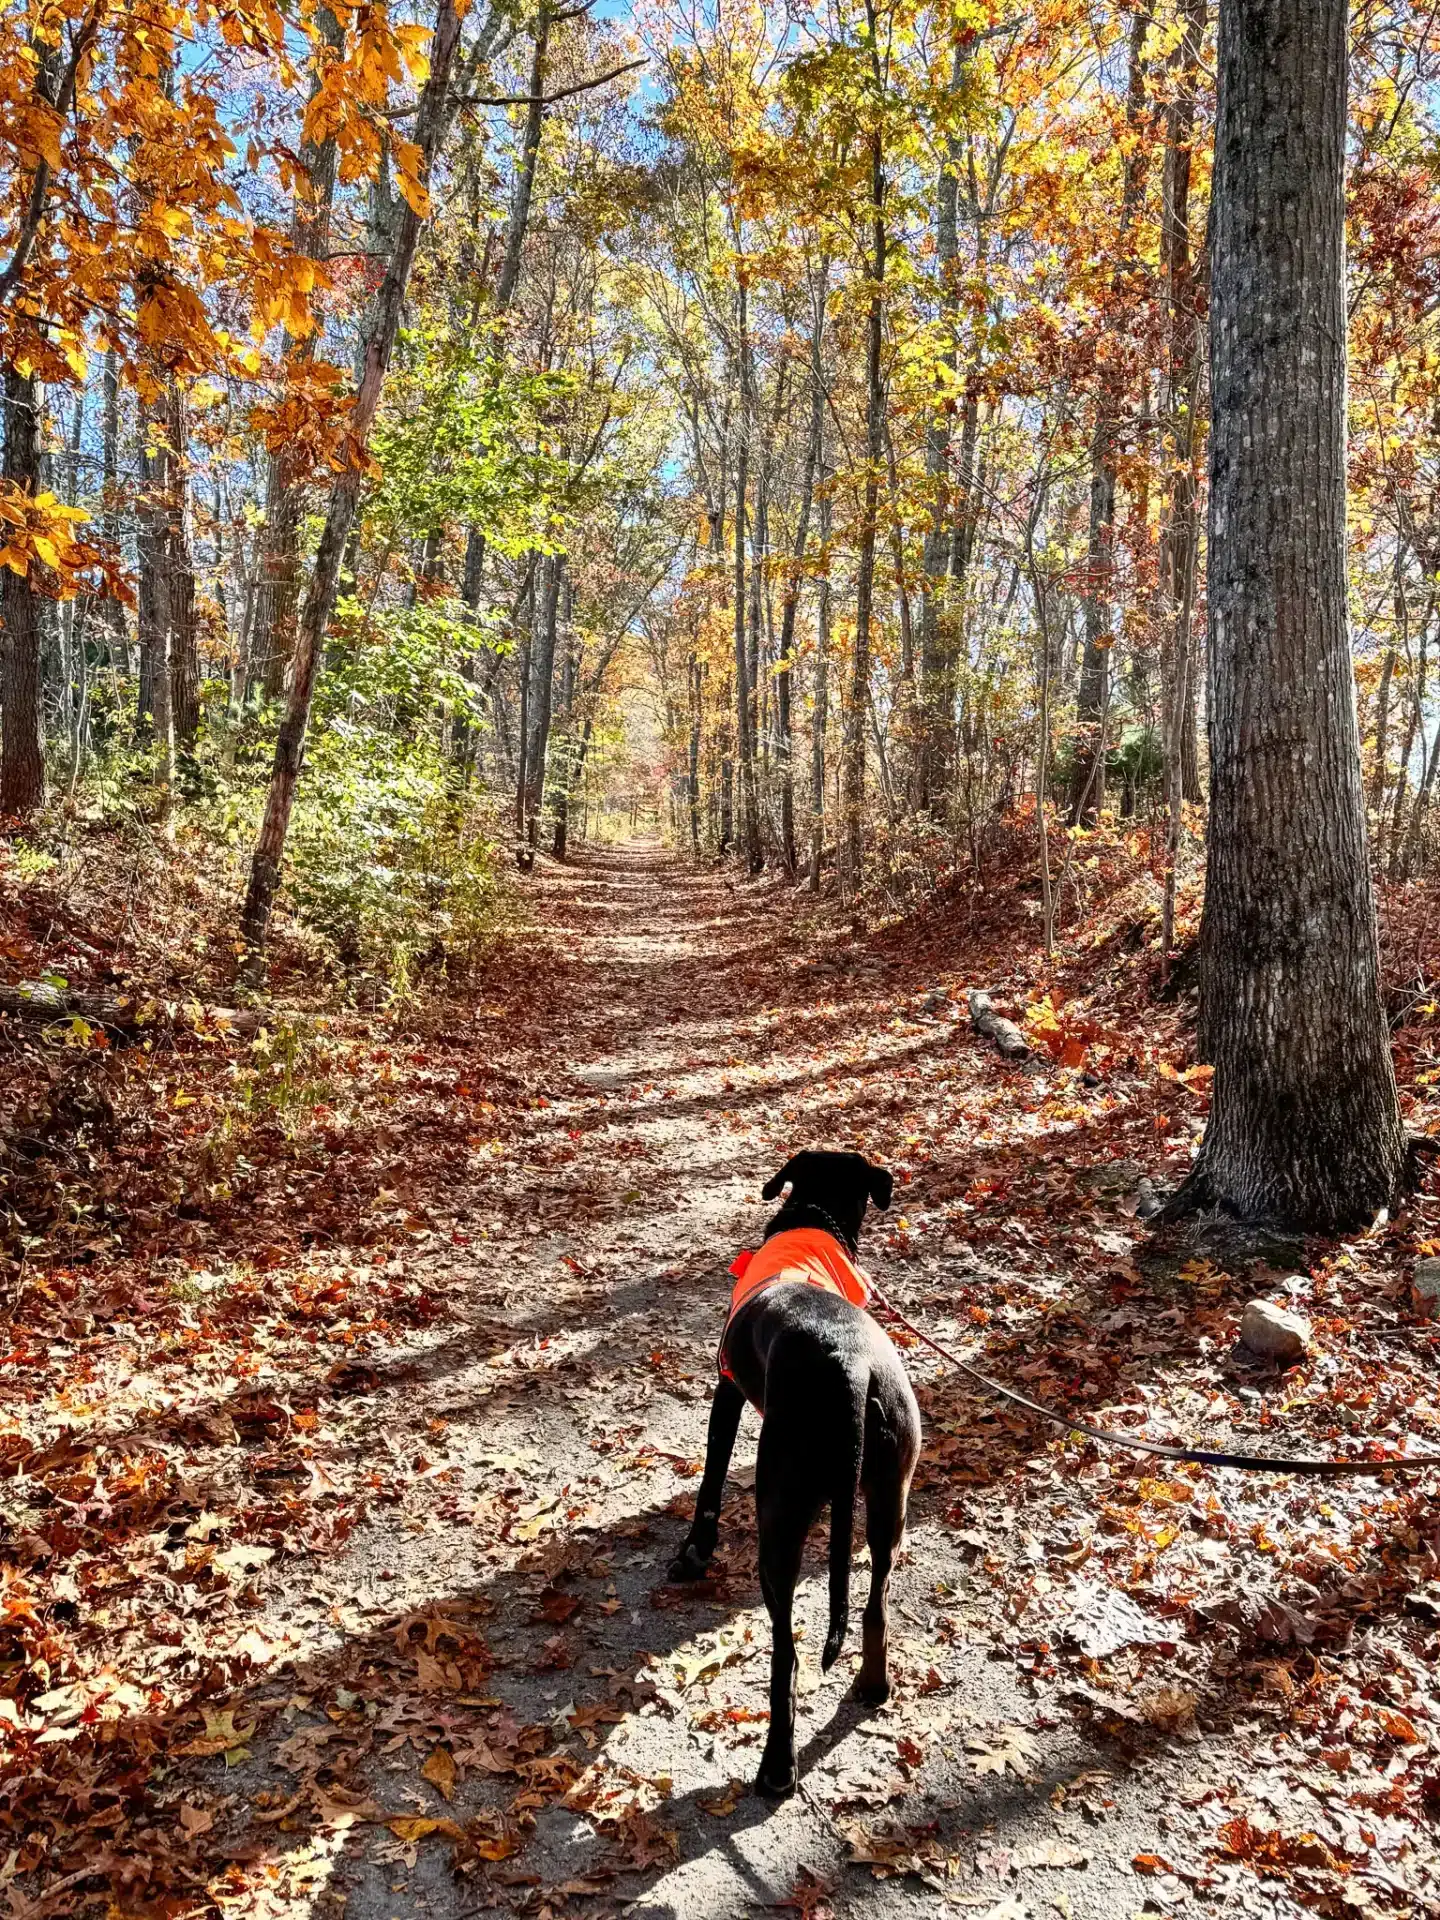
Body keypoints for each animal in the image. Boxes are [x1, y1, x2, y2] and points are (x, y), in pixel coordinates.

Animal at [668, 1152, 917, 1797]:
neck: (813, 1220)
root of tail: (853, 1370)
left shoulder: (726, 1390)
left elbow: (710, 1479)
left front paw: (695, 1551)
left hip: (779, 1514)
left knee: (787, 1654)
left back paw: (777, 1764)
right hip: (890, 1497)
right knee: (875, 1601)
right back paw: (873, 1685)